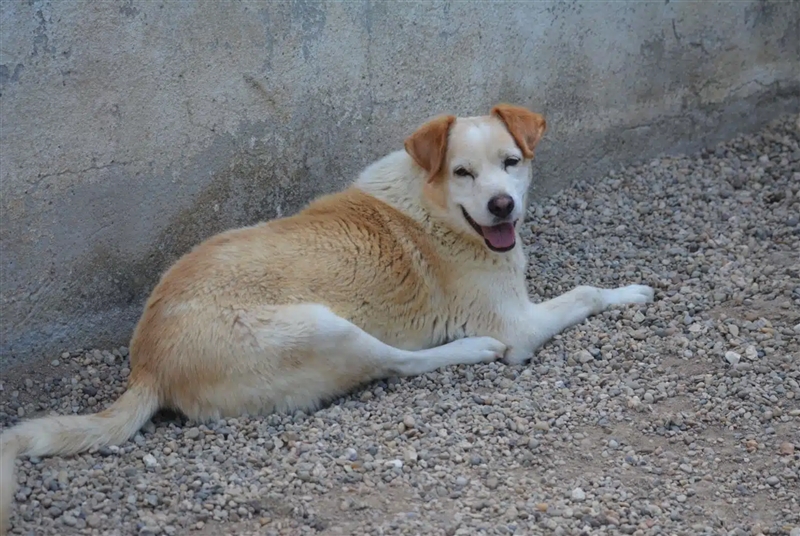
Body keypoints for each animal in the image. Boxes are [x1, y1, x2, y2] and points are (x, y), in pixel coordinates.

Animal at [0, 103, 654, 532]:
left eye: (512, 161)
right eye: (463, 172)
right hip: (325, 326)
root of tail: (147, 365)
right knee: (396, 364)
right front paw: (632, 291)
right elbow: (586, 293)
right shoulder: (517, 326)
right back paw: (467, 351)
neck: (434, 205)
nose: (503, 205)